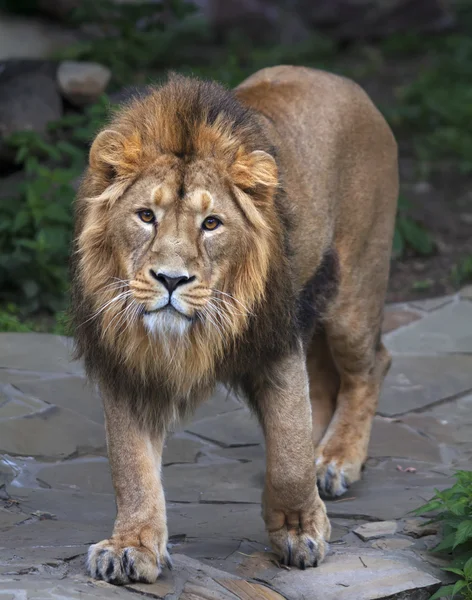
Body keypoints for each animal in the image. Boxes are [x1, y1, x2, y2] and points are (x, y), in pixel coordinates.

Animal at [72, 67, 398, 584]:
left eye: (211, 223)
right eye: (145, 216)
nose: (171, 279)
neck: (196, 334)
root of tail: (343, 81)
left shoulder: (276, 344)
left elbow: (288, 458)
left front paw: (300, 532)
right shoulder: (126, 361)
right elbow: (131, 466)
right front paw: (131, 547)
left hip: (354, 292)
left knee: (371, 366)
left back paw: (335, 462)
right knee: (323, 383)